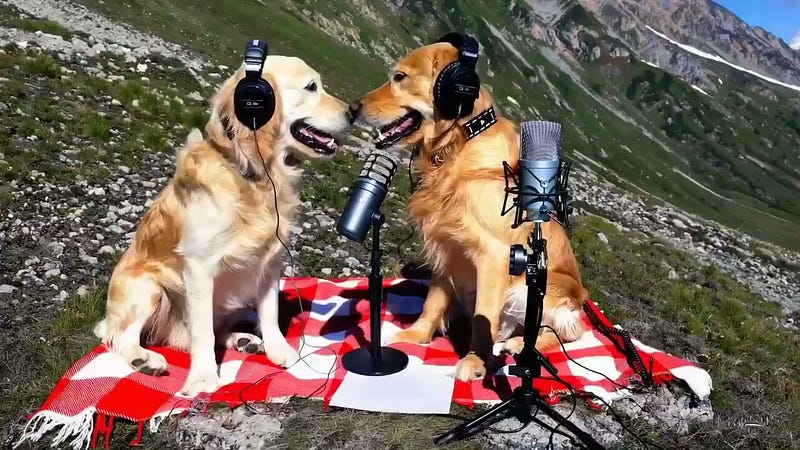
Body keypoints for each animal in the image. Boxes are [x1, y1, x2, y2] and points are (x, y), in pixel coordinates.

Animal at [94, 40, 350, 396]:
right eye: (312, 87)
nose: (353, 112)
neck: (255, 175)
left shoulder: (270, 262)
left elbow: (269, 313)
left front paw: (280, 350)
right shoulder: (200, 268)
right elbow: (202, 333)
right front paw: (203, 378)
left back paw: (242, 340)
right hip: (146, 287)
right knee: (121, 337)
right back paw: (144, 358)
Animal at [350, 32, 588, 380]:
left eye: (400, 77)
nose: (353, 108)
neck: (457, 144)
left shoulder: (495, 256)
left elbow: (483, 317)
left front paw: (474, 362)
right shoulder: (446, 247)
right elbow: (433, 302)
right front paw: (416, 335)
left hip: (534, 288)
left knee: (561, 333)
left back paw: (518, 345)